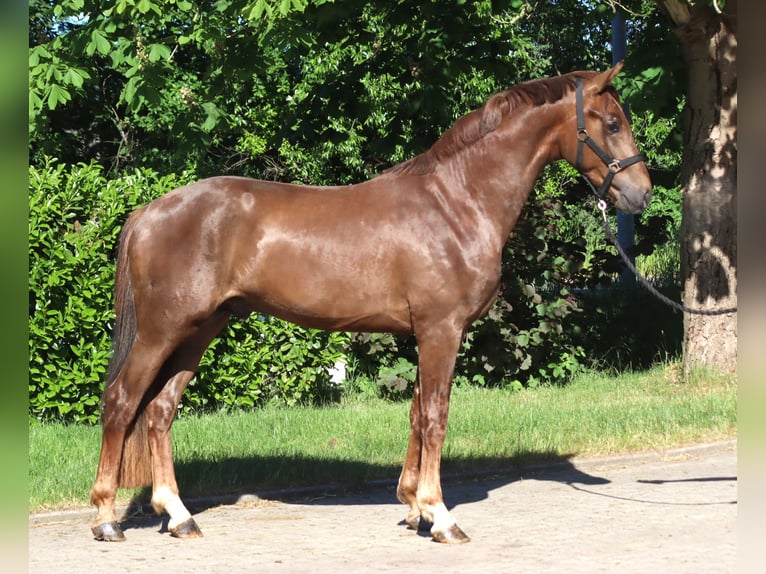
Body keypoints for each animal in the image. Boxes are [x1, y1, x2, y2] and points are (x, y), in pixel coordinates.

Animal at [89, 61, 651, 544]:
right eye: (611, 122)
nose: (641, 194)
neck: (457, 202)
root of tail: (149, 211)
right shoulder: (442, 330)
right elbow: (435, 415)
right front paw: (441, 516)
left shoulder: (426, 333)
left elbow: (417, 413)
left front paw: (414, 507)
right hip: (162, 330)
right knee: (122, 401)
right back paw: (106, 518)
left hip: (200, 329)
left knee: (160, 411)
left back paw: (179, 516)